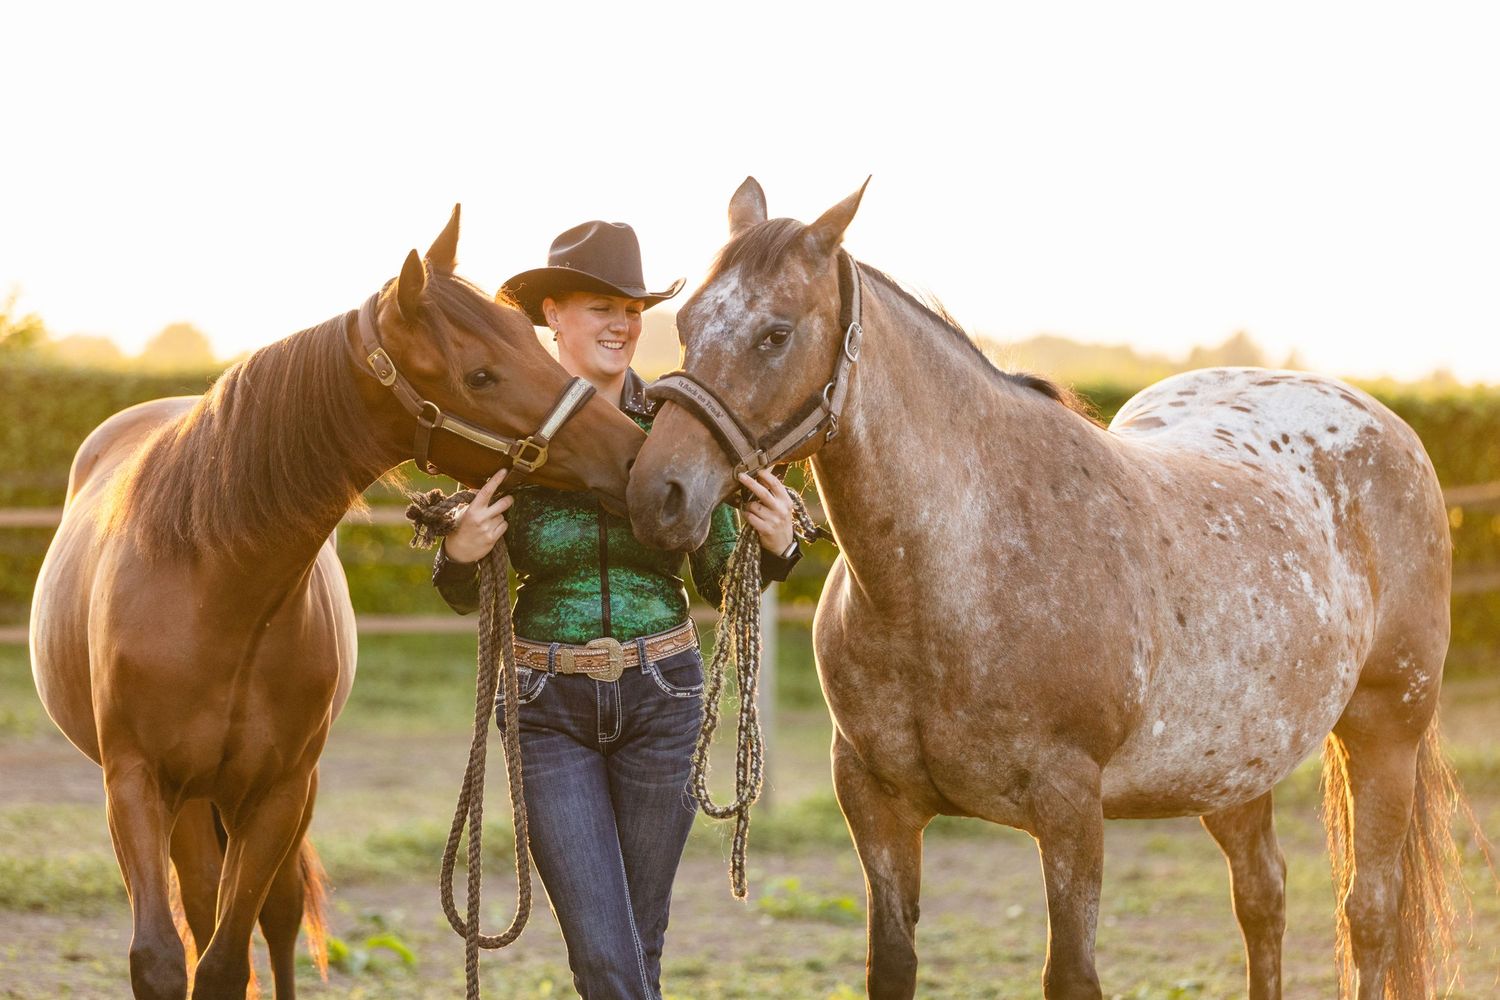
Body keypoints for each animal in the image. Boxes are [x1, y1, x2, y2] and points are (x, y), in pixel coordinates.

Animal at [29, 206, 646, 999]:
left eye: (529, 336)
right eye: (481, 373)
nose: (636, 456)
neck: (215, 594)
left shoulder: (279, 793)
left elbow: (229, 959)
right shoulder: (134, 785)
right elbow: (163, 958)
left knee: (276, 916)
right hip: (190, 801)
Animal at [628, 178, 1470, 999]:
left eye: (775, 333)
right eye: (687, 320)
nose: (657, 493)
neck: (957, 573)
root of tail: (1388, 426)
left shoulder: (1070, 809)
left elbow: (1071, 974)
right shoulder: (874, 801)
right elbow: (891, 964)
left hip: (1383, 732)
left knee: (1369, 913)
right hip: (1233, 766)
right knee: (1263, 897)